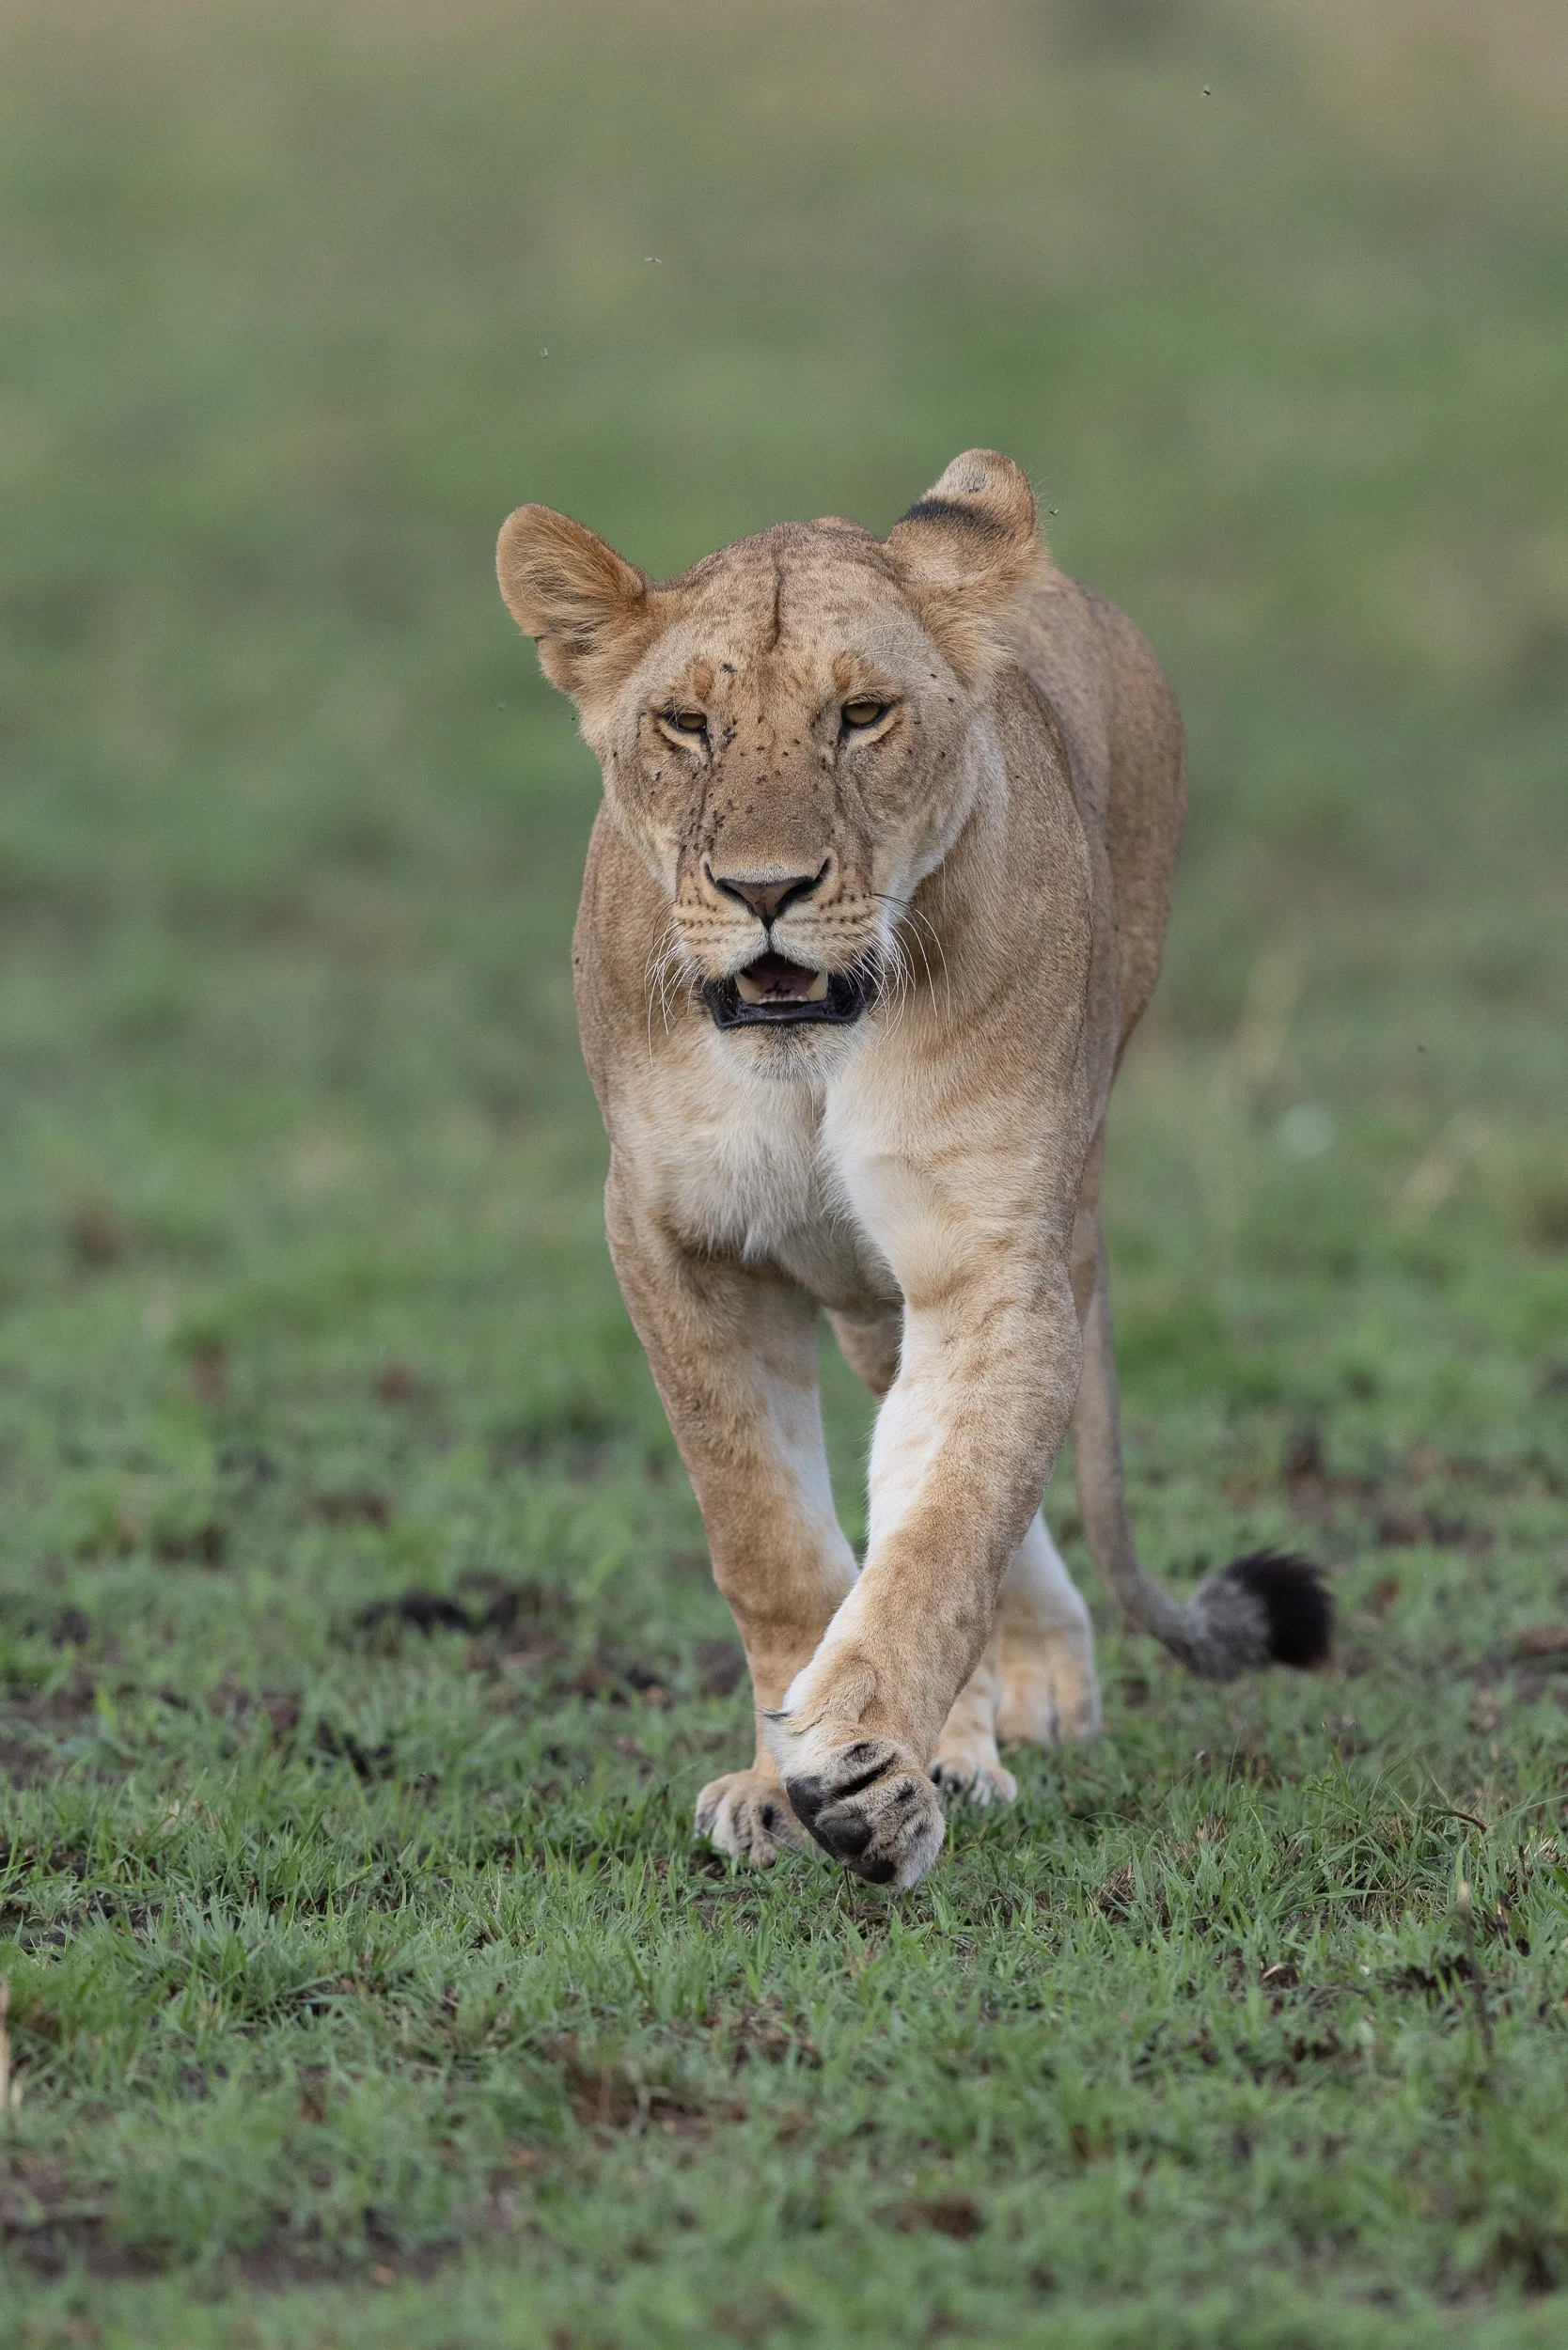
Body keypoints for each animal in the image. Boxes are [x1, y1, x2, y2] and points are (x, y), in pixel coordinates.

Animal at [496, 450, 1329, 1889]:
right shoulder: (675, 1240)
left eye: (864, 716)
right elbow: (768, 1534)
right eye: (685, 725)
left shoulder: (987, 1255)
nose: (764, 888)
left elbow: (943, 1537)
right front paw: (778, 1780)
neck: (814, 1060)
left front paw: (875, 1763)